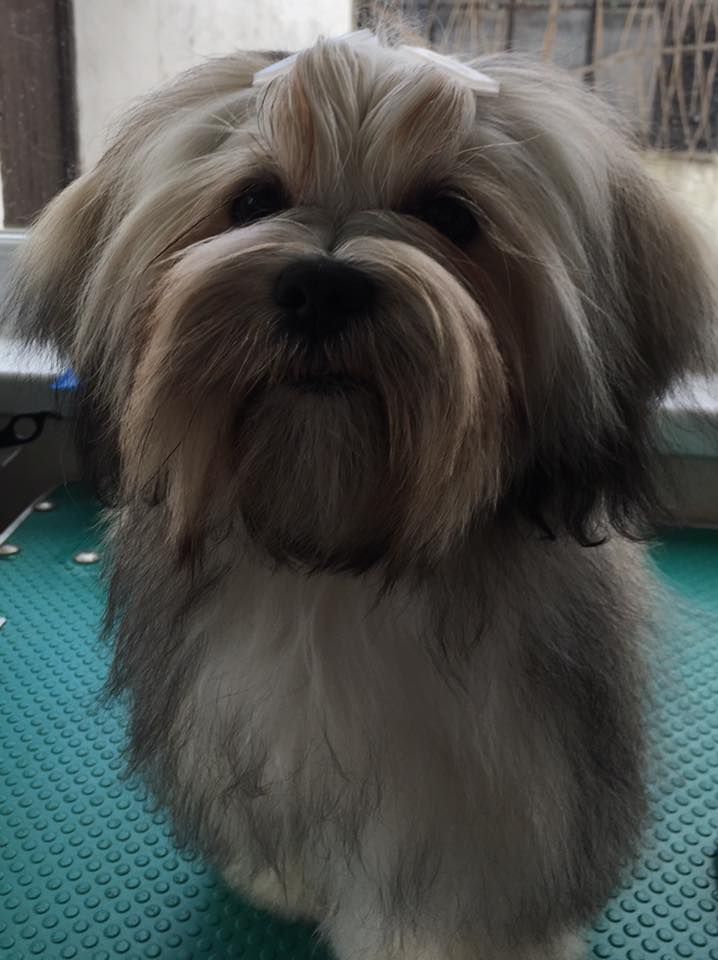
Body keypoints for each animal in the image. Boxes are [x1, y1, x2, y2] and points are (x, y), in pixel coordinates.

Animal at [4, 29, 716, 960]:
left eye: (450, 215)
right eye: (254, 198)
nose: (321, 287)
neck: (331, 551)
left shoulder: (505, 781)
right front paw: (276, 879)